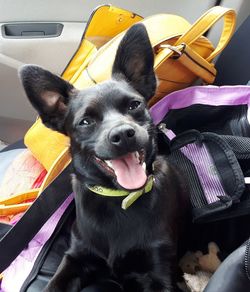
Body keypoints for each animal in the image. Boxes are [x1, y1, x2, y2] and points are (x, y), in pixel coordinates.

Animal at [20, 23, 188, 292]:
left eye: (134, 105)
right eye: (85, 122)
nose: (123, 134)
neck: (120, 199)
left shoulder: (158, 272)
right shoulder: (75, 259)